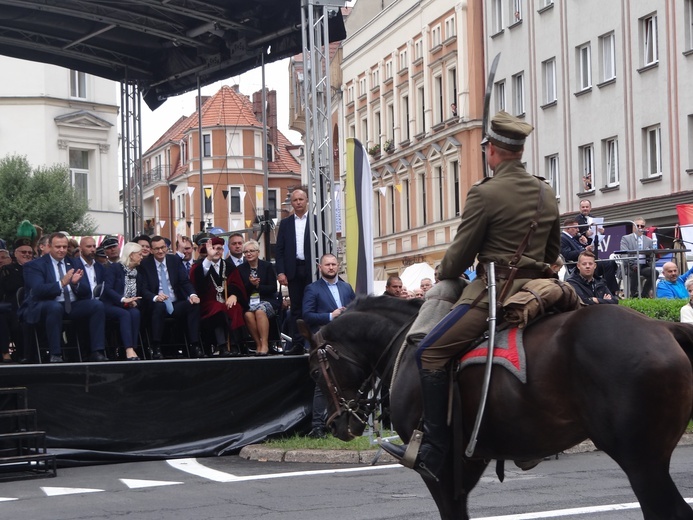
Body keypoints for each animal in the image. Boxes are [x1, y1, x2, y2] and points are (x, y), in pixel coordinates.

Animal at [300, 296, 692, 520]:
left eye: (315, 370)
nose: (337, 424)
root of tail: (663, 326)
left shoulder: (438, 467)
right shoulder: (467, 462)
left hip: (642, 462)